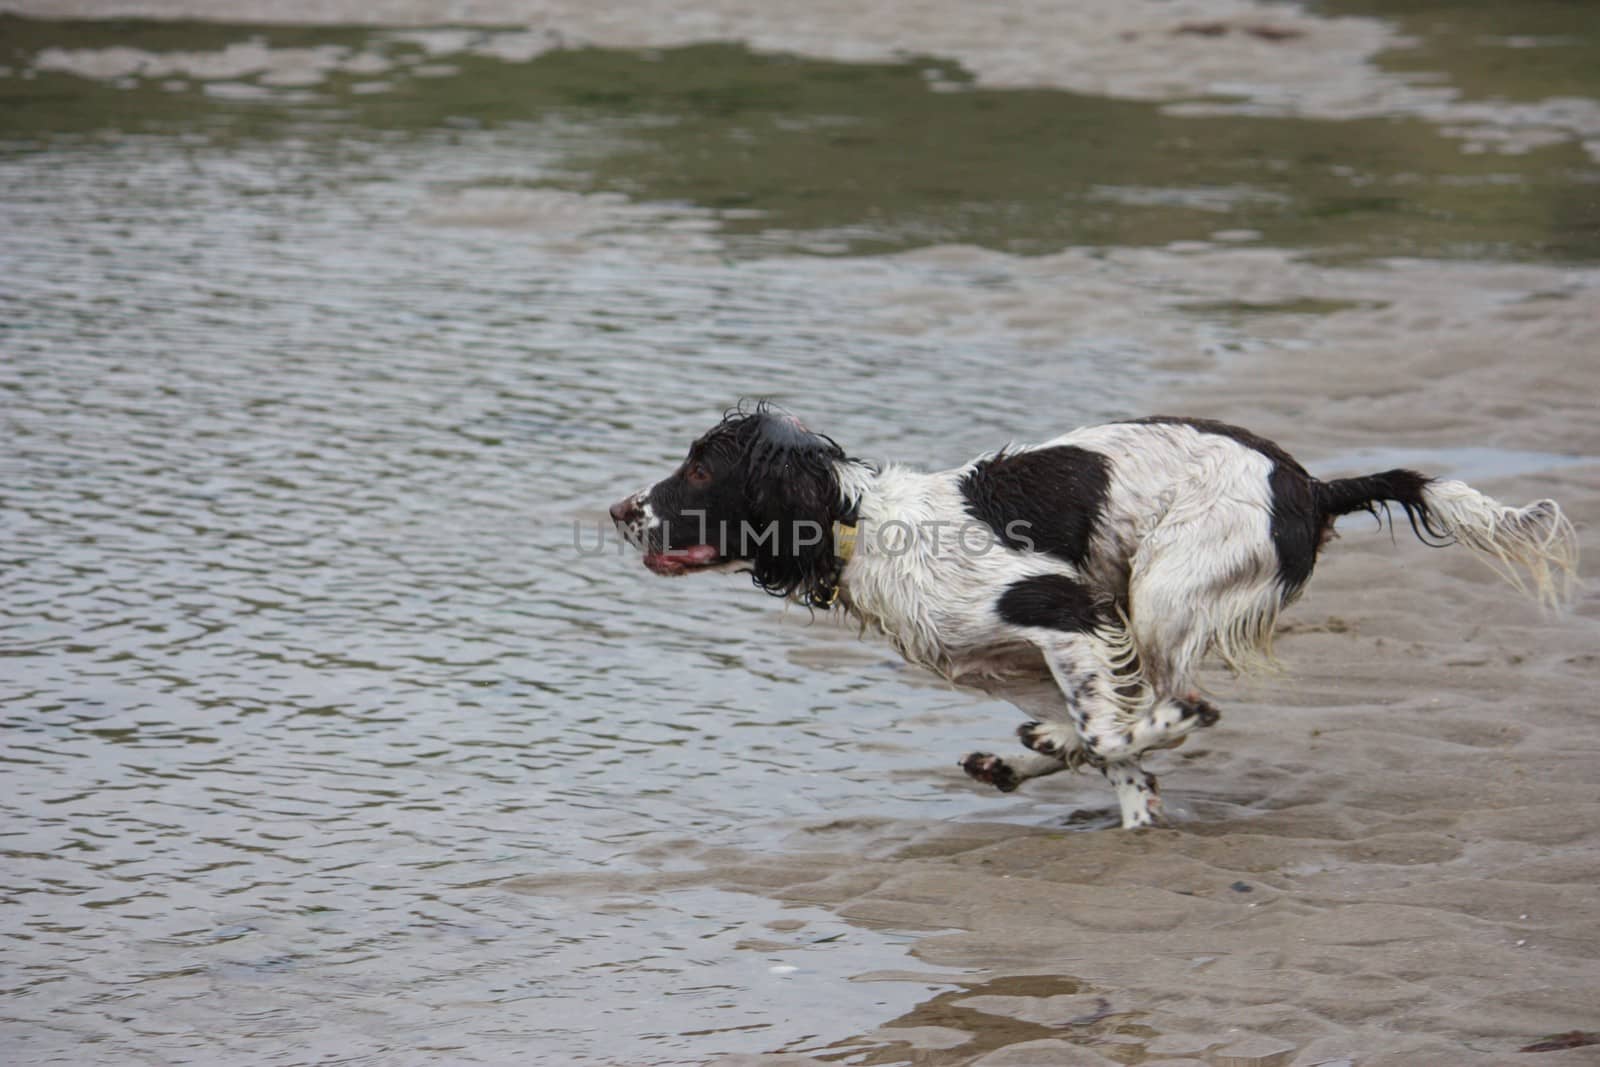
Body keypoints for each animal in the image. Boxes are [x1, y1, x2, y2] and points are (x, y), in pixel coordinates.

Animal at [608, 404, 1574, 831]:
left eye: (702, 471)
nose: (620, 510)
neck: (864, 526)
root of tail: (1308, 484)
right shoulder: (1031, 657)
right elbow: (1108, 744)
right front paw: (1084, 781)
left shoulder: (1062, 609)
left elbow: (1118, 735)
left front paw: (1118, 773)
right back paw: (1026, 753)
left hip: (1166, 590)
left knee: (1178, 697)